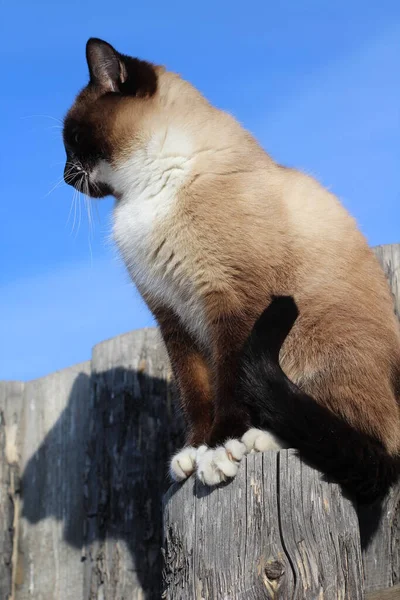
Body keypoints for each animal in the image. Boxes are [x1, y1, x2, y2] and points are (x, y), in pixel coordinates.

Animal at [62, 37, 400, 504]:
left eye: (73, 139)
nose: (64, 176)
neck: (146, 192)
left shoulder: (230, 300)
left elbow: (228, 383)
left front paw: (220, 449)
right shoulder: (172, 316)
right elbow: (196, 392)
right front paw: (195, 450)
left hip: (321, 347)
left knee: (363, 437)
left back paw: (260, 438)